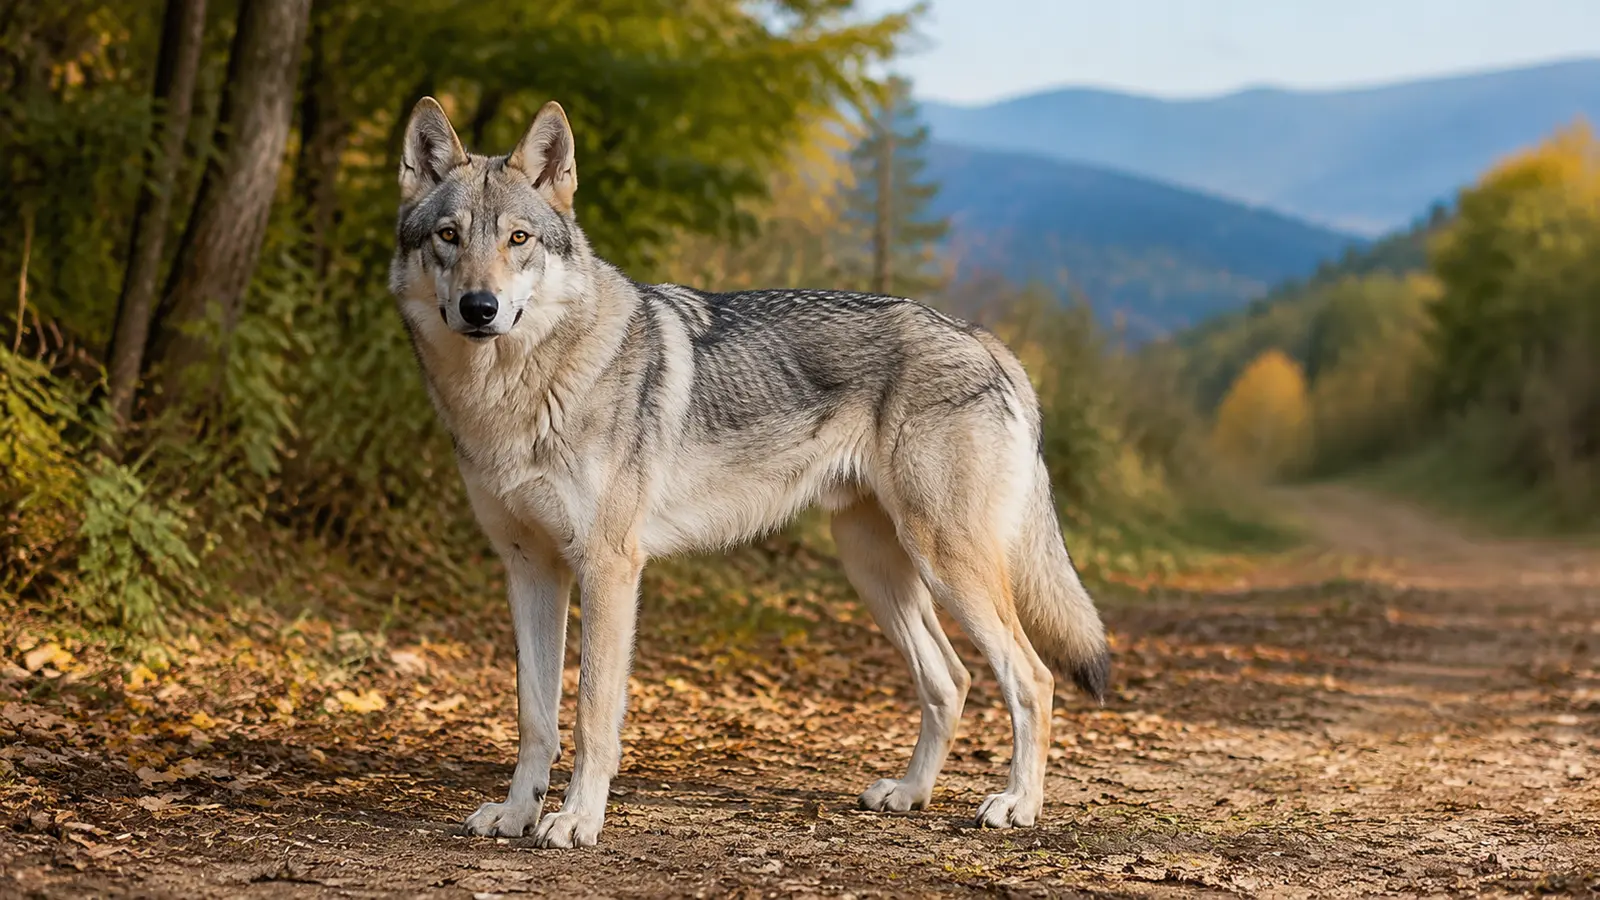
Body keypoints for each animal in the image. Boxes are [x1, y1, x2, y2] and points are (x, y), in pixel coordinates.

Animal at [387, 96, 1111, 849]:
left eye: (519, 238)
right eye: (448, 236)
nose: (479, 308)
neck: (514, 393)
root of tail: (981, 336)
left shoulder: (609, 568)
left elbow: (591, 716)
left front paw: (578, 819)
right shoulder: (530, 569)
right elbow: (534, 716)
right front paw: (516, 814)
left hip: (948, 566)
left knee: (1032, 678)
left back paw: (1018, 804)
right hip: (878, 572)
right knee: (953, 681)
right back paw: (910, 794)